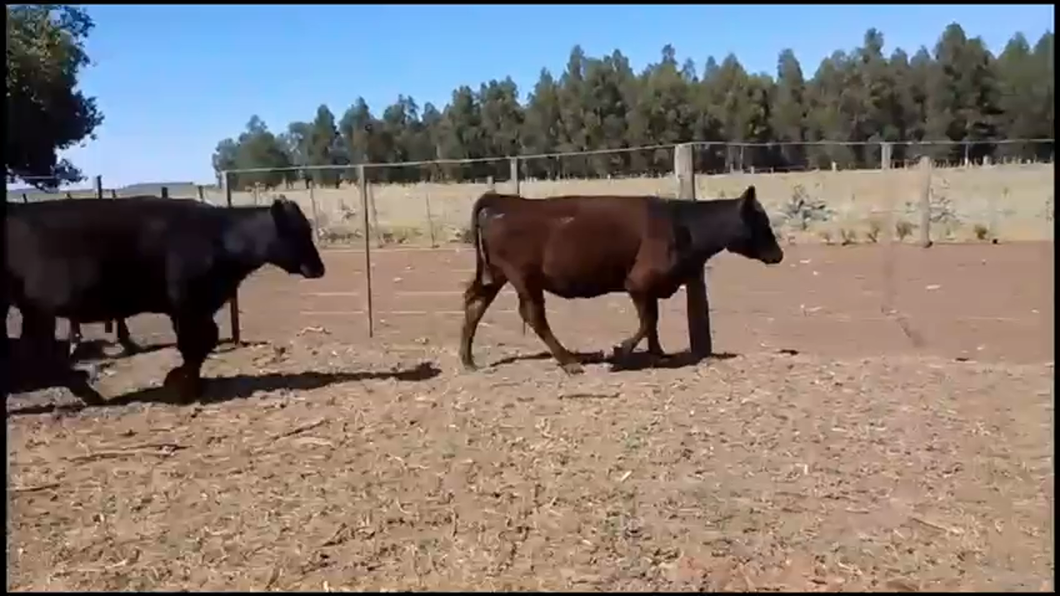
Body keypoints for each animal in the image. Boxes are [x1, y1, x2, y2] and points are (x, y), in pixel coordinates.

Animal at [6, 195, 324, 402]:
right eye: (296, 232)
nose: (319, 269)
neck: (219, 236)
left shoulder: (196, 307)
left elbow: (203, 341)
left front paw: (188, 382)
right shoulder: (187, 305)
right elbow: (194, 343)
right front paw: (182, 385)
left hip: (31, 308)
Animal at [460, 185, 784, 371]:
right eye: (762, 221)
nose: (779, 254)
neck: (681, 225)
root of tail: (504, 201)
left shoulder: (649, 288)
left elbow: (653, 322)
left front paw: (659, 354)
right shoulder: (638, 282)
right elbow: (648, 320)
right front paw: (620, 351)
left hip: (495, 275)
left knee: (474, 304)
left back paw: (468, 360)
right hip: (524, 278)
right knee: (533, 315)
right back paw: (570, 362)